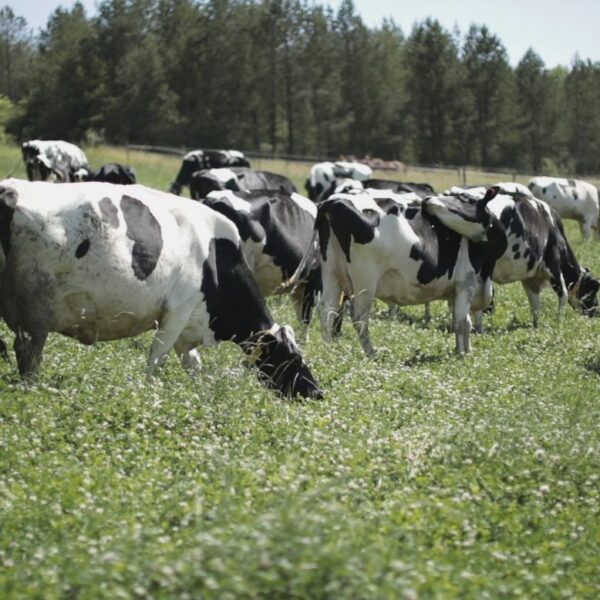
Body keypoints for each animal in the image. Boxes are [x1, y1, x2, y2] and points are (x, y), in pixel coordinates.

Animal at [314, 189, 506, 356]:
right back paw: (371, 353)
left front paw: (465, 349)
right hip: (365, 280)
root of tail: (333, 201)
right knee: (359, 317)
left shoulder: (455, 291)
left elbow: (464, 321)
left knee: (327, 309)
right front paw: (462, 354)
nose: (427, 200)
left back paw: (327, 349)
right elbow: (461, 323)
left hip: (331, 272)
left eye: (465, 198)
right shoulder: (466, 283)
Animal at [474, 185, 600, 326]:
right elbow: (563, 293)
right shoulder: (553, 266)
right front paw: (559, 322)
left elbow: (535, 304)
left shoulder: (530, 276)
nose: (597, 312)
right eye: (593, 288)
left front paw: (536, 325)